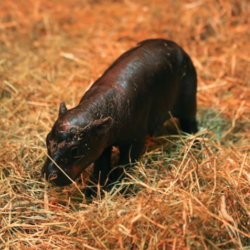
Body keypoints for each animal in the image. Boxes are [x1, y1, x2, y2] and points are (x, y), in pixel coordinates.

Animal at [42, 39, 198, 195]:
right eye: (47, 139)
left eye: (75, 150)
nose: (49, 174)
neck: (93, 111)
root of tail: (178, 47)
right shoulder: (102, 143)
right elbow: (101, 165)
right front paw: (92, 192)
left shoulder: (135, 142)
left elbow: (125, 164)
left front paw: (117, 187)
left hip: (189, 103)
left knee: (190, 123)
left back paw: (195, 145)